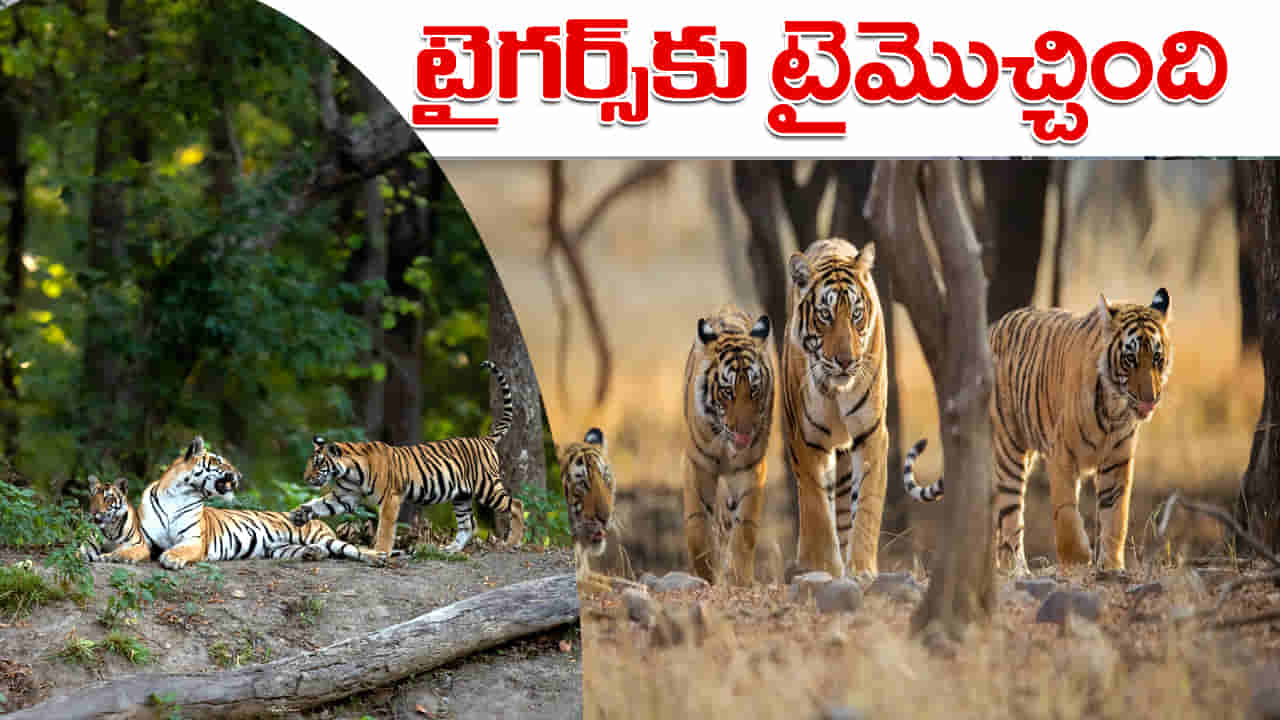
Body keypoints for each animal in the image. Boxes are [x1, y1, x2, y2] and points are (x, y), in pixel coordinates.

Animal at [102, 436, 390, 569]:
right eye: (219, 461)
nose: (239, 475)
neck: (179, 495)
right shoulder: (143, 540)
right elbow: (131, 550)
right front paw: (114, 556)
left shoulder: (194, 540)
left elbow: (181, 549)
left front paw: (172, 557)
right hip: (279, 549)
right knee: (313, 551)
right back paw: (312, 553)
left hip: (327, 538)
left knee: (352, 549)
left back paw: (377, 558)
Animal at [289, 360, 526, 558]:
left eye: (318, 464)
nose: (306, 479)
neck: (348, 473)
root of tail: (484, 439)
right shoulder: (345, 496)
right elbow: (320, 504)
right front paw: (299, 514)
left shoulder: (390, 498)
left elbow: (385, 529)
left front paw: (380, 553)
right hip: (461, 495)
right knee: (469, 524)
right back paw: (450, 549)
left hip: (486, 486)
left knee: (516, 504)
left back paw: (511, 543)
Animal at [681, 306, 774, 585]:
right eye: (727, 392)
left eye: (754, 389)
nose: (744, 432)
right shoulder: (697, 465)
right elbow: (698, 528)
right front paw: (706, 577)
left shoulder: (750, 469)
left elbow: (744, 531)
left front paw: (741, 580)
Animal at [781, 238, 944, 579]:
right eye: (825, 315)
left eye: (856, 314)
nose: (846, 361)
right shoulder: (806, 441)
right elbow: (816, 508)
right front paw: (822, 567)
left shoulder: (871, 435)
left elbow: (866, 506)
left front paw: (861, 569)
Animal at [907, 288, 1172, 576]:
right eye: (1130, 359)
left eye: (1157, 358)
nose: (1150, 399)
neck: (1115, 408)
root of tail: (991, 328)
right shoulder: (1062, 455)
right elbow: (1065, 513)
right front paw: (1077, 560)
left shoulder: (1117, 461)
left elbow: (1116, 517)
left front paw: (1111, 566)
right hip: (1008, 451)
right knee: (1010, 517)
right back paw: (1016, 570)